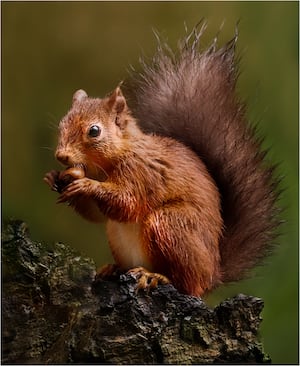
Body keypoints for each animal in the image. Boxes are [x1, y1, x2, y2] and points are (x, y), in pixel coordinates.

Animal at [43, 28, 280, 298]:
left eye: (94, 131)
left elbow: (127, 203)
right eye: (62, 123)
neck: (107, 163)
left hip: (171, 224)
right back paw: (114, 269)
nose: (62, 156)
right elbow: (97, 214)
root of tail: (213, 273)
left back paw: (156, 276)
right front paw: (55, 178)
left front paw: (86, 185)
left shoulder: (141, 173)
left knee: (188, 285)